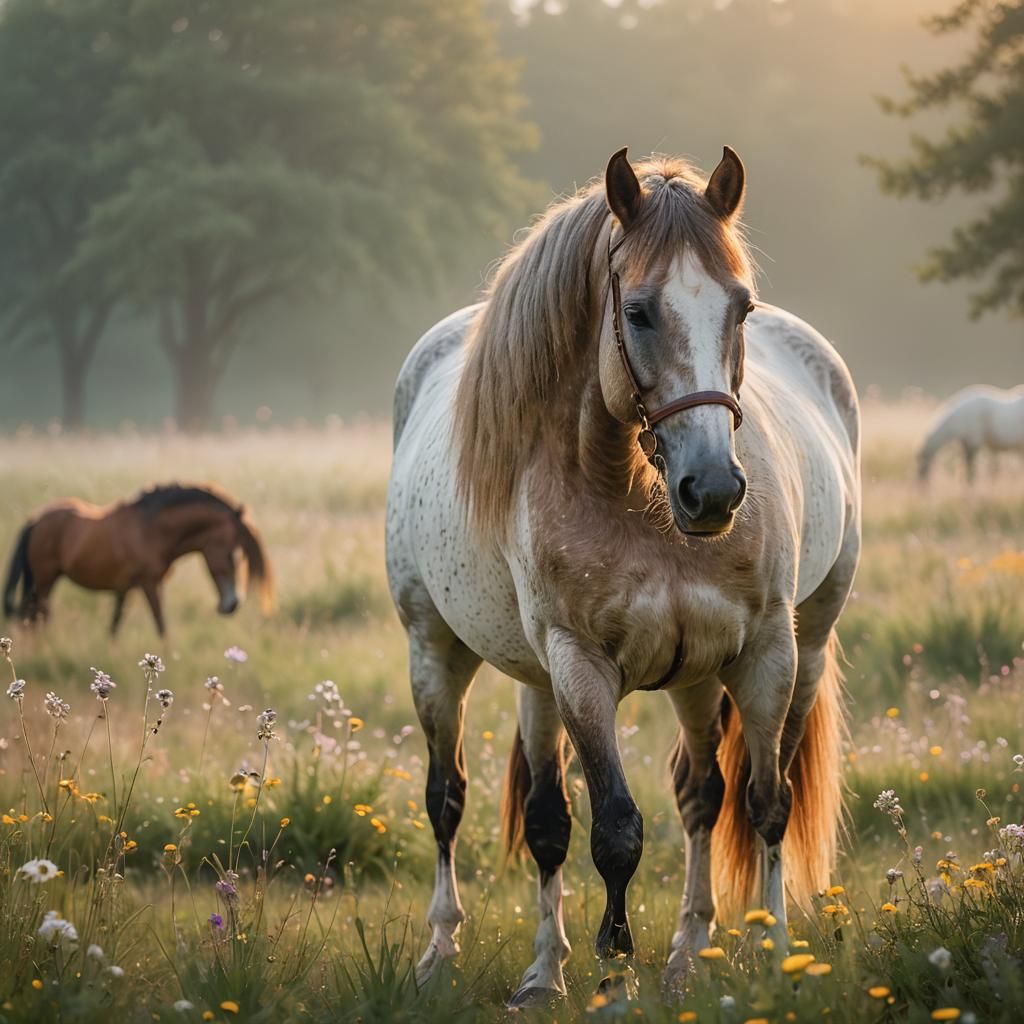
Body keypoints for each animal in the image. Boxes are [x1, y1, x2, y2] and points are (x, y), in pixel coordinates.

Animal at [4, 483, 273, 636]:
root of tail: (35, 520)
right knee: (37, 617)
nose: (233, 604)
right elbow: (161, 626)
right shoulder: (149, 584)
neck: (152, 530)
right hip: (45, 580)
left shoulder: (125, 588)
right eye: (234, 554)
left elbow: (114, 626)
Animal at [385, 146, 860, 1005]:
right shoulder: (578, 666)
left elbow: (764, 803)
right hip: (442, 653)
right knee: (460, 802)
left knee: (700, 795)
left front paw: (774, 955)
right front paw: (610, 974)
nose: (714, 491)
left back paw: (684, 954)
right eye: (637, 312)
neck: (637, 497)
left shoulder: (765, 653)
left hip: (771, 653)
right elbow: (611, 829)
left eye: (741, 308)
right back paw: (470, 958)